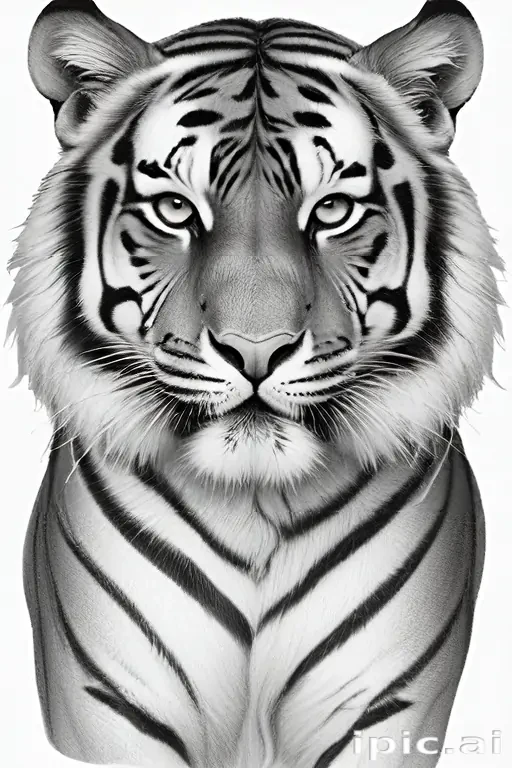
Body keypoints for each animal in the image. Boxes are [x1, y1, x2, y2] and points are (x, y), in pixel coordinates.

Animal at [8, 0, 502, 766]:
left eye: (332, 212)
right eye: (176, 210)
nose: (256, 351)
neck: (256, 501)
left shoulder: (383, 706)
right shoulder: (111, 703)